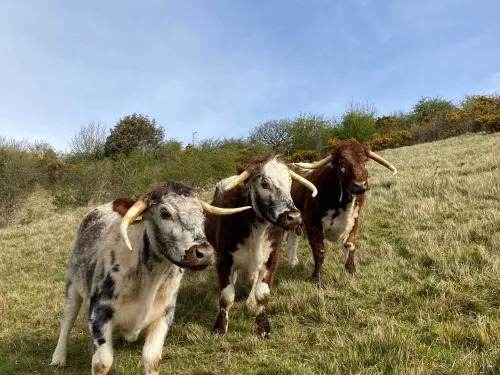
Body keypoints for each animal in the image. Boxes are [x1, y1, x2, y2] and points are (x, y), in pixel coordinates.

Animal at [50, 182, 250, 375]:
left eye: (201, 214)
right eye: (165, 213)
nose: (205, 253)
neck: (148, 280)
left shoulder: (163, 316)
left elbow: (152, 359)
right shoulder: (100, 313)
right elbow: (102, 363)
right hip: (72, 286)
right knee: (67, 319)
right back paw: (58, 359)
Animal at [204, 156, 316, 338]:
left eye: (289, 182)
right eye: (265, 184)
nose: (294, 216)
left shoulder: (271, 259)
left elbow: (262, 294)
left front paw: (262, 328)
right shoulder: (224, 259)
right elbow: (226, 296)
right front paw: (219, 328)